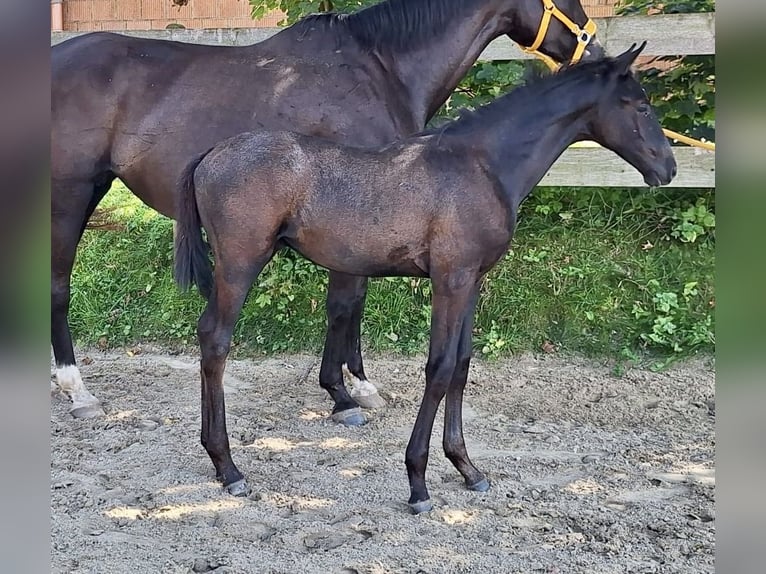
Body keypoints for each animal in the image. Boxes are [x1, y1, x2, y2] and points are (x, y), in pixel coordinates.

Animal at [54, 0, 608, 424]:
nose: (598, 52)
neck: (379, 68)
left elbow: (351, 305)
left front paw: (358, 385)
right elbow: (345, 305)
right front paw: (343, 395)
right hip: (72, 194)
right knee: (59, 283)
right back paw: (76, 389)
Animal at [174, 44, 680, 508]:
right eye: (640, 106)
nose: (669, 167)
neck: (481, 164)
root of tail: (210, 154)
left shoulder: (473, 279)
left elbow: (461, 364)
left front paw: (467, 467)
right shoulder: (449, 279)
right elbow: (438, 368)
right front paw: (418, 480)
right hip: (240, 263)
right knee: (215, 339)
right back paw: (228, 467)